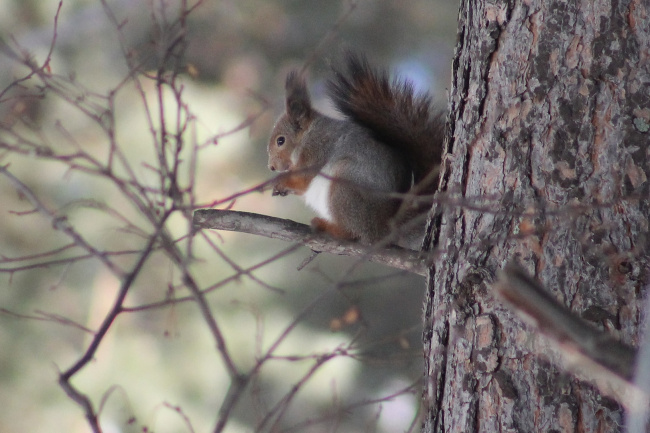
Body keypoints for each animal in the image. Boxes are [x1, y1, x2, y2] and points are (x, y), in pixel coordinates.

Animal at [266, 51, 442, 246]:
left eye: (280, 141)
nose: (271, 167)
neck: (308, 134)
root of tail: (383, 227)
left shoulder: (317, 149)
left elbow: (304, 178)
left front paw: (281, 181)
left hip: (344, 187)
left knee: (353, 233)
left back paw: (327, 226)